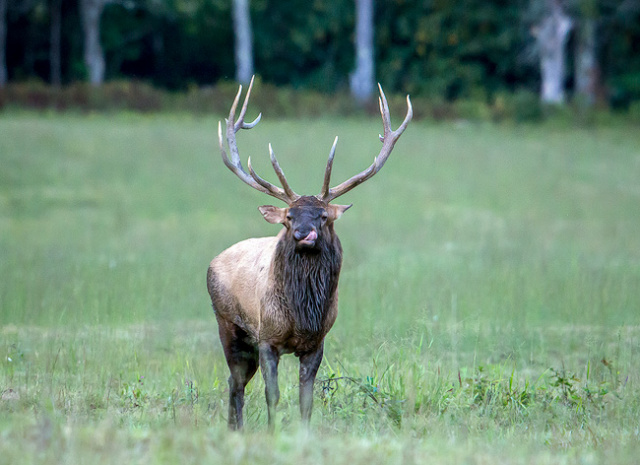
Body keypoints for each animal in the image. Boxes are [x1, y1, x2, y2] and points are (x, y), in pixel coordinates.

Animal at [208, 76, 412, 428]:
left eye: (323, 216)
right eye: (289, 217)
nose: (304, 234)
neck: (303, 317)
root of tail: (213, 260)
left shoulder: (317, 343)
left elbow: (307, 401)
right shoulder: (267, 337)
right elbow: (273, 396)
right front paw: (273, 432)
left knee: (237, 383)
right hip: (229, 325)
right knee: (235, 383)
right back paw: (235, 428)